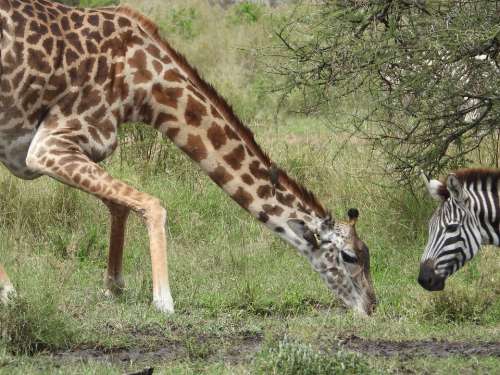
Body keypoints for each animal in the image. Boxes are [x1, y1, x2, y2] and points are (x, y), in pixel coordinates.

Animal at [0, 0, 376, 314]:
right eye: (349, 256)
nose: (371, 307)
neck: (141, 85)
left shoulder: (69, 149)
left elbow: (120, 206)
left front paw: (114, 287)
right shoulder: (49, 147)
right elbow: (153, 204)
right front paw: (163, 300)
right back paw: (10, 294)